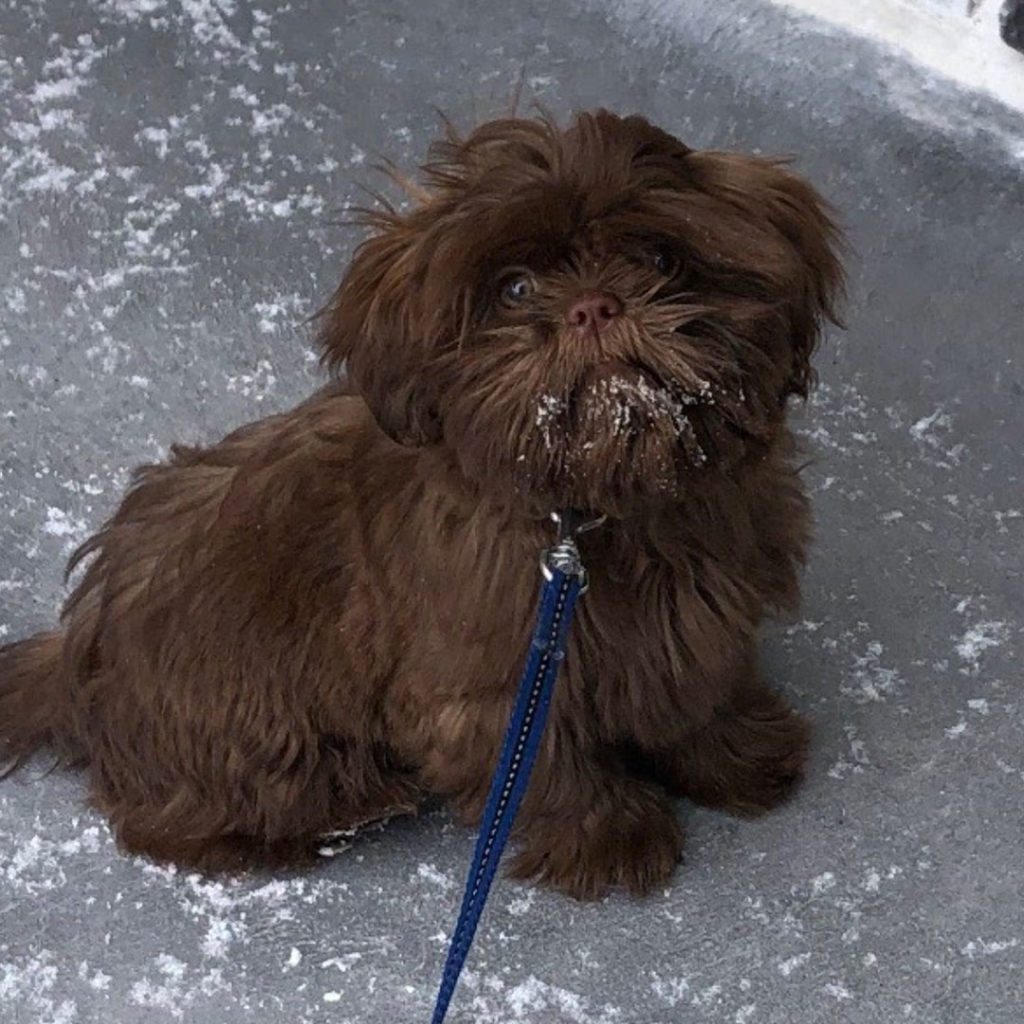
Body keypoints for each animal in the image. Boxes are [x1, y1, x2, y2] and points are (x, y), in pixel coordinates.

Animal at [0, 110, 843, 897]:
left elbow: (697, 684)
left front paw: (739, 753)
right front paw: (607, 836)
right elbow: (546, 764)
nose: (595, 306)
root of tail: (79, 657)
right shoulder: (495, 681)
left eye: (662, 258)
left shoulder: (696, 611)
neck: (595, 510)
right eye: (515, 288)